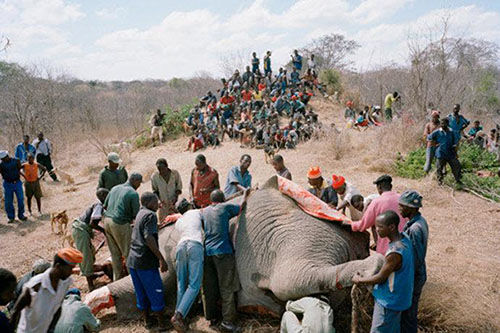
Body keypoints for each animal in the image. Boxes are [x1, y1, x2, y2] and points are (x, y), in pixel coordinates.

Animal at [88, 175, 382, 322]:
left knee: (290, 281)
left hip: (298, 234)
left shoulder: (166, 251)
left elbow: (156, 279)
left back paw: (375, 269)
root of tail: (355, 241)